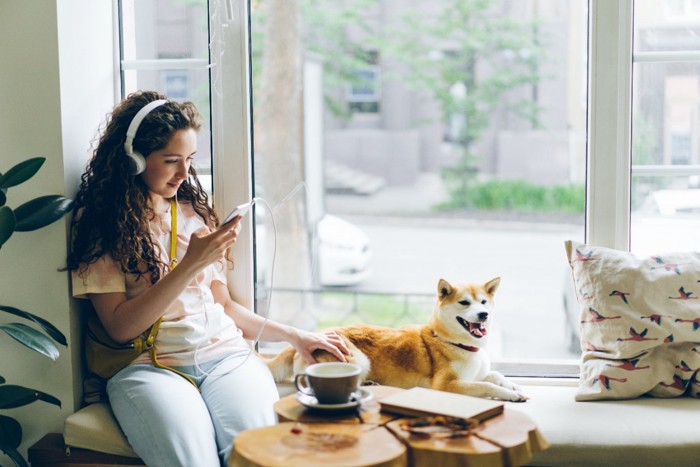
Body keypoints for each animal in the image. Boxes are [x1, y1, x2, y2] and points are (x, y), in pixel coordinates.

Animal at [266, 278, 528, 402]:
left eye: (483, 302)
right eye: (464, 303)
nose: (483, 314)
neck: (454, 342)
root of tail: (314, 336)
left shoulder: (474, 375)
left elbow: (495, 375)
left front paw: (514, 386)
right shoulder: (447, 385)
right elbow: (487, 386)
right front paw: (511, 395)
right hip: (357, 359)